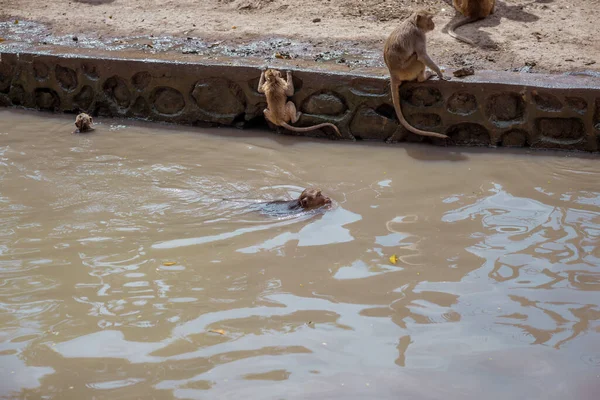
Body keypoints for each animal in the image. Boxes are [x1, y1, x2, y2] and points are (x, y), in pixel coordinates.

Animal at [384, 9, 450, 141]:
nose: (434, 24)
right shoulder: (419, 35)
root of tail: (393, 73)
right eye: (430, 19)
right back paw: (423, 77)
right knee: (417, 58)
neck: (413, 23)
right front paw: (440, 73)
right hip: (409, 70)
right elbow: (422, 56)